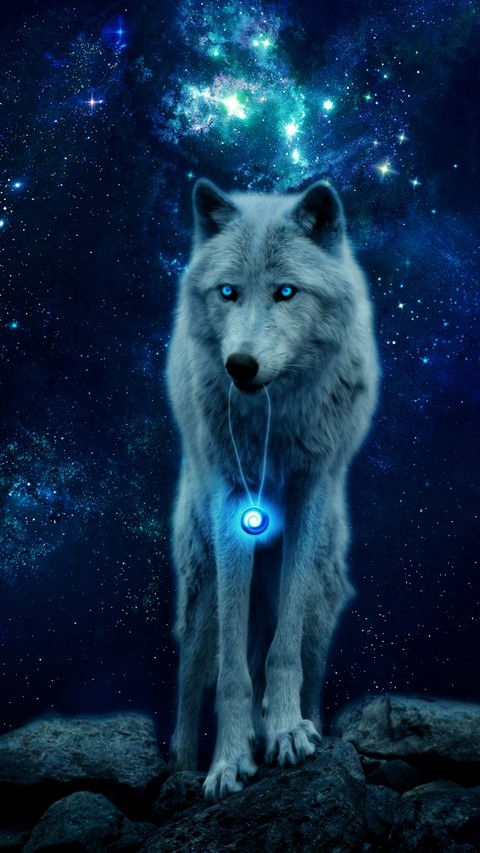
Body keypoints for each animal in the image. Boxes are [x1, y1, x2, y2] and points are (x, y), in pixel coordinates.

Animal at [166, 178, 379, 801]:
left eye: (286, 292)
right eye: (228, 292)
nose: (240, 365)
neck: (271, 418)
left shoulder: (310, 490)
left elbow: (282, 655)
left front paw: (285, 732)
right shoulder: (234, 502)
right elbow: (232, 673)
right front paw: (227, 761)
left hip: (324, 594)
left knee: (301, 656)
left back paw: (300, 725)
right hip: (201, 586)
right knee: (191, 679)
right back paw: (182, 766)